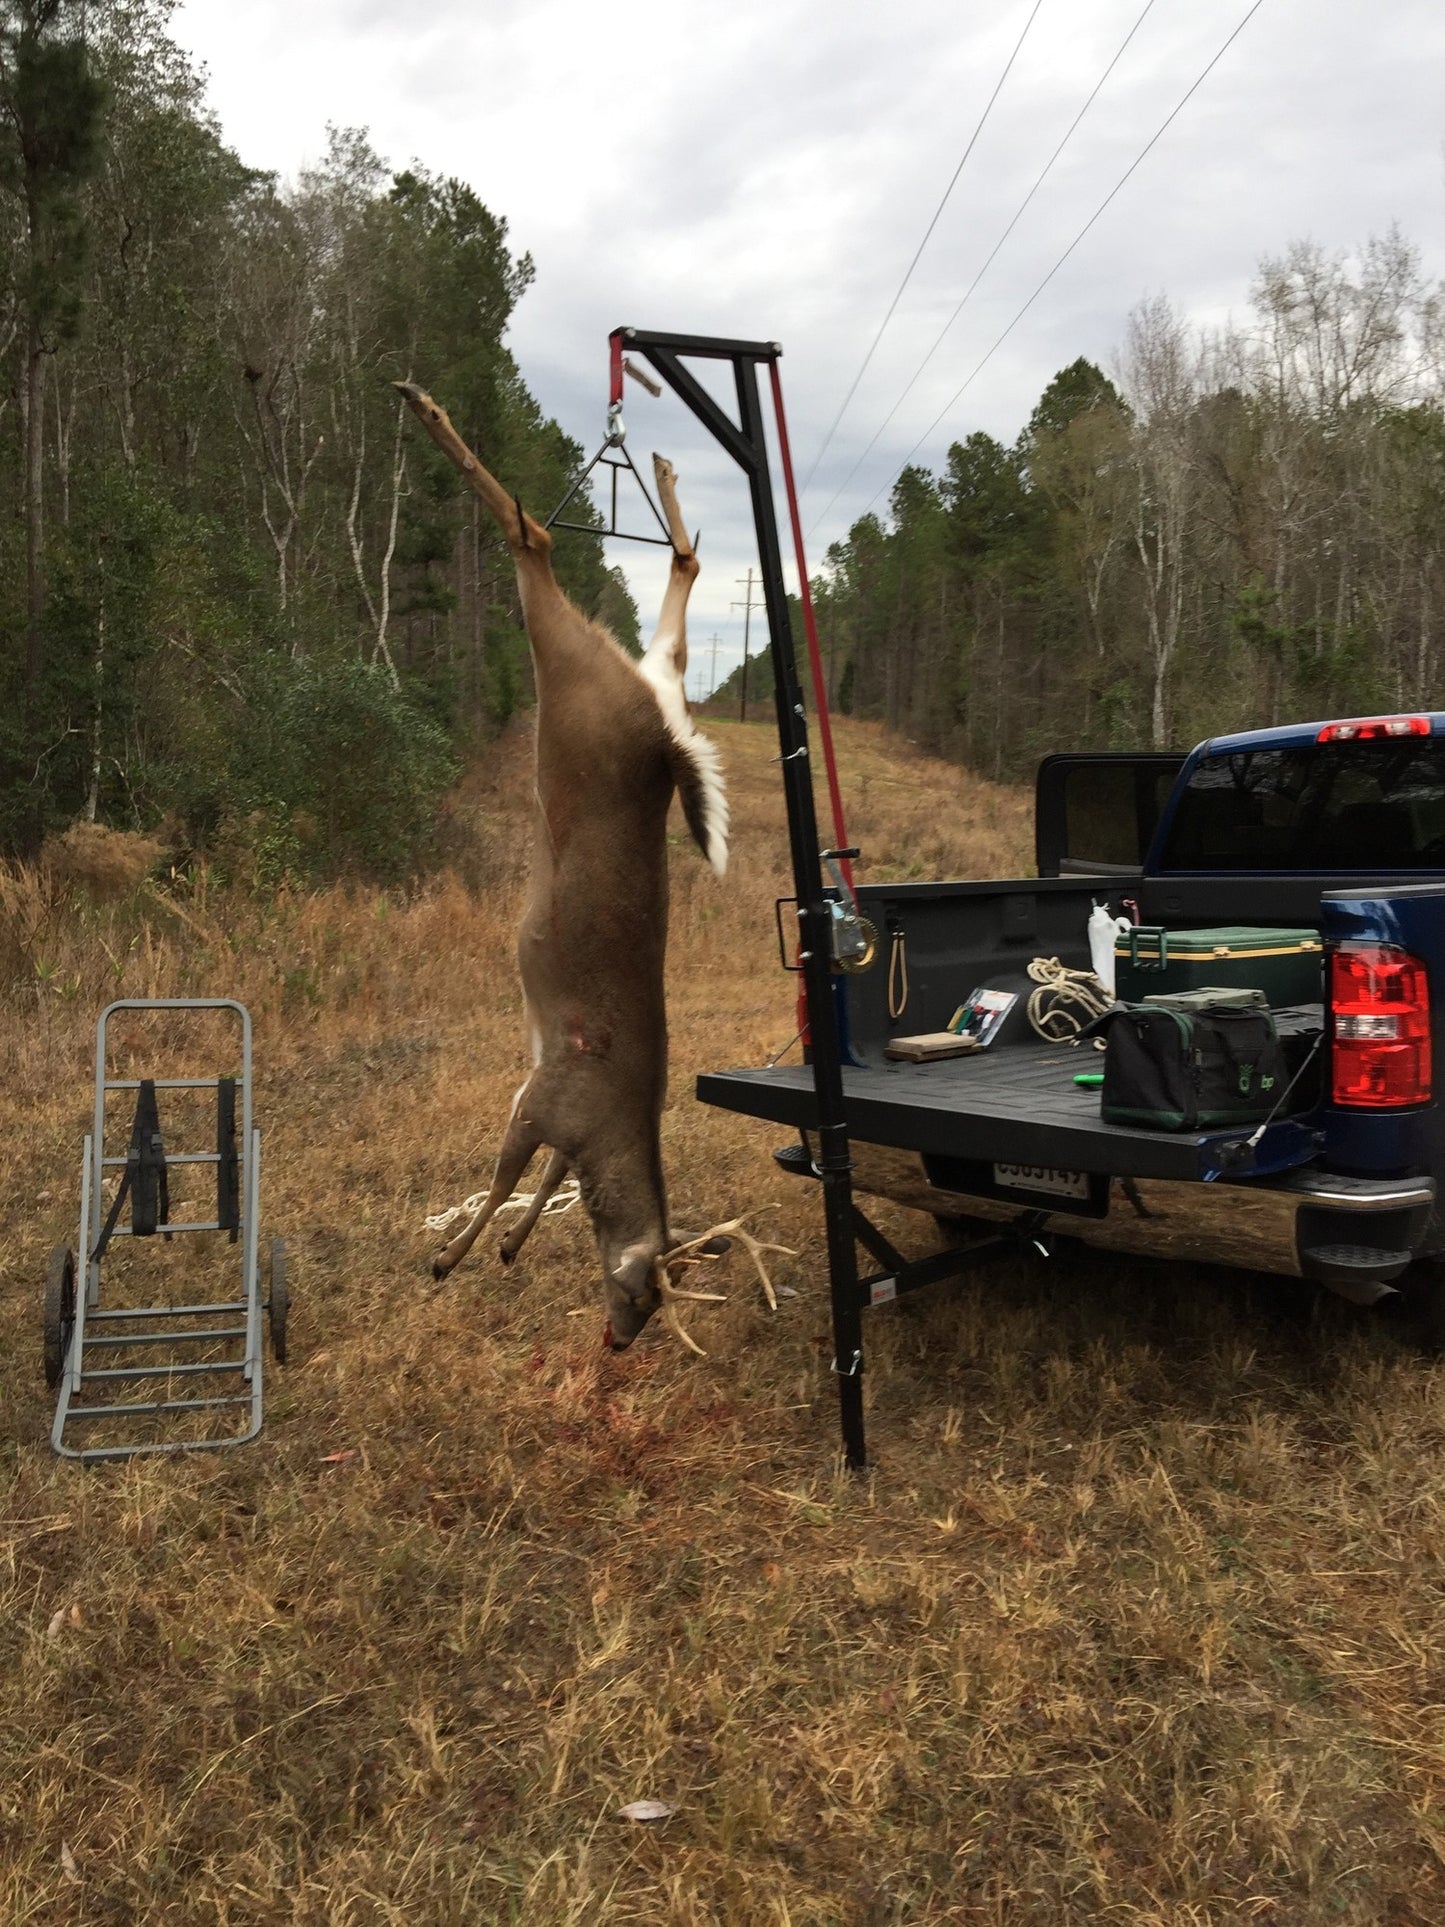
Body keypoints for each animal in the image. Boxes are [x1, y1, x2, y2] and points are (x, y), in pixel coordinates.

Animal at [397, 382, 790, 1350]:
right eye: (646, 1292)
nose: (618, 1340)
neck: (612, 1125)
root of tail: (661, 737)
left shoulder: (546, 1105)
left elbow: (544, 1185)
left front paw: (504, 1248)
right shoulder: (545, 1095)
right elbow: (507, 1177)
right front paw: (451, 1255)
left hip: (625, 677)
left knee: (675, 581)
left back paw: (658, 467)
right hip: (575, 681)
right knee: (535, 537)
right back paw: (428, 409)